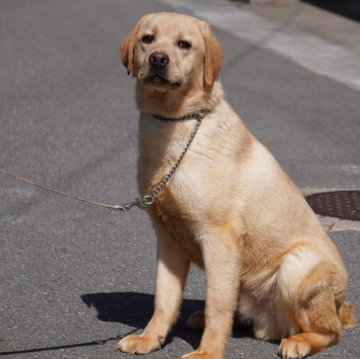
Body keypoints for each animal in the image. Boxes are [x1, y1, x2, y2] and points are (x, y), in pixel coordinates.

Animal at [114, 11, 354, 359]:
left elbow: (217, 304)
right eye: (148, 39)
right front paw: (150, 338)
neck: (176, 123)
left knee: (328, 331)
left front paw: (208, 352)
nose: (158, 59)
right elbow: (164, 299)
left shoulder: (219, 238)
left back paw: (298, 341)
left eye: (184, 44)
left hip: (297, 266)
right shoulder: (167, 239)